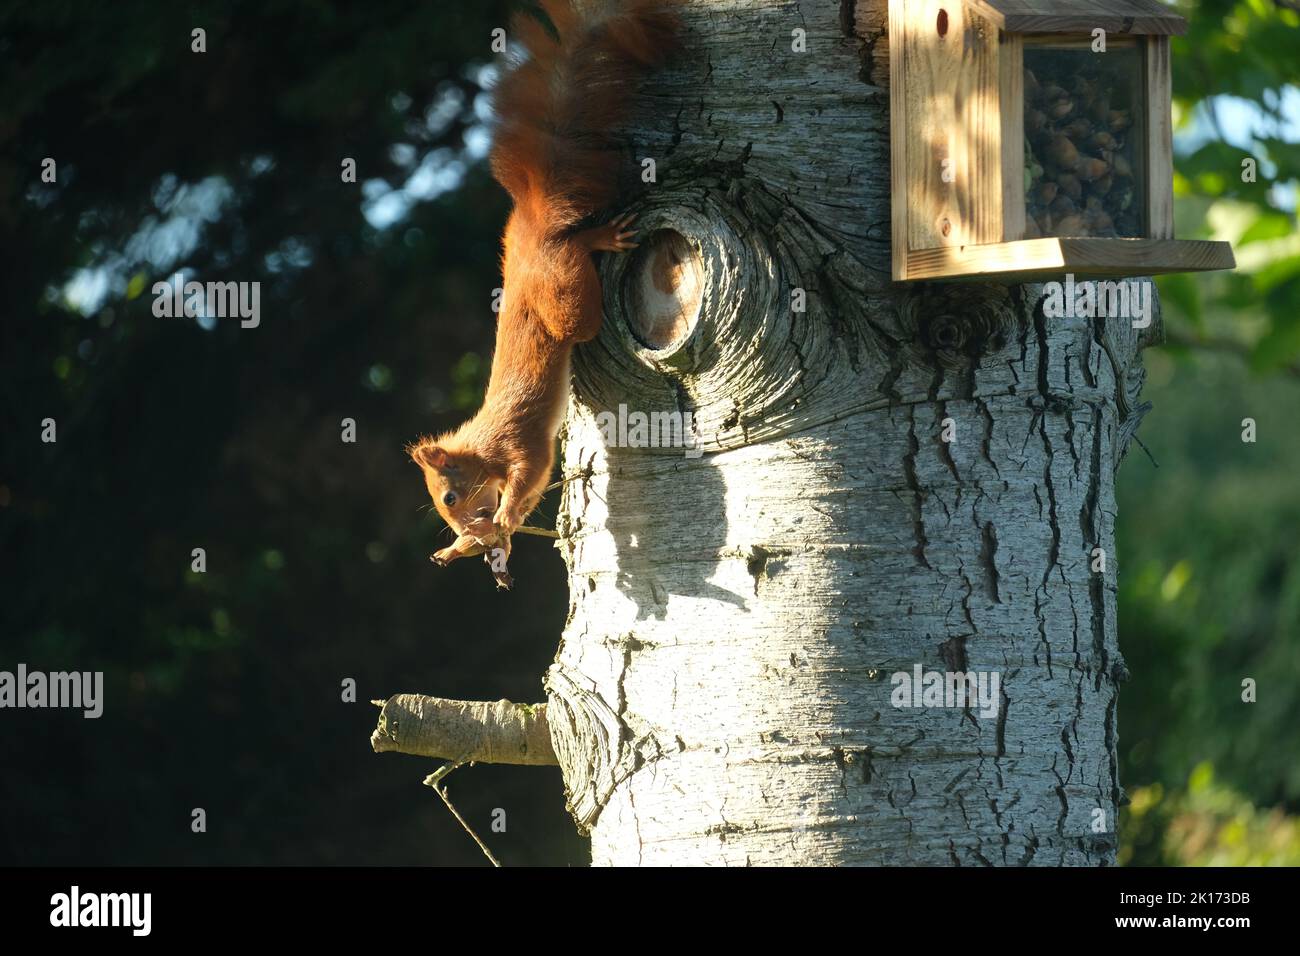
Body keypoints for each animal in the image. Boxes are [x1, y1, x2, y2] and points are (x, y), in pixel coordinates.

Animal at [408, 1, 681, 582]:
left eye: (448, 496)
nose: (462, 527)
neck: (482, 447)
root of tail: (532, 227)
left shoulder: (518, 444)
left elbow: (529, 477)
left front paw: (501, 520)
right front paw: (469, 549)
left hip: (567, 298)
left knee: (578, 278)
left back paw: (598, 239)